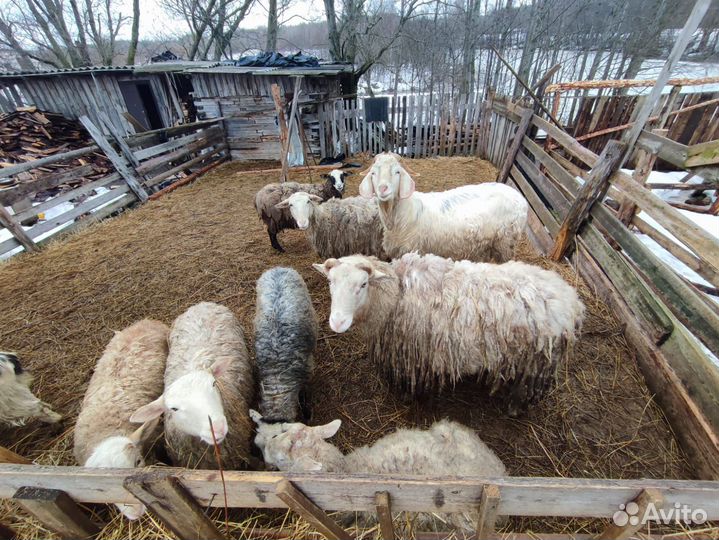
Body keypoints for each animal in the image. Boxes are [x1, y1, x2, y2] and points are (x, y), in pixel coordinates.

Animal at [313, 253, 585, 415]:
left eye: (363, 284)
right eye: (330, 282)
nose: (337, 322)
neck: (396, 294)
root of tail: (571, 300)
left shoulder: (413, 354)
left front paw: (409, 398)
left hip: (537, 361)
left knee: (526, 388)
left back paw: (514, 408)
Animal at [359, 152, 528, 262]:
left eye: (397, 172)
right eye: (373, 173)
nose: (383, 189)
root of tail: (521, 198)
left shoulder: (414, 251)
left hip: (506, 242)